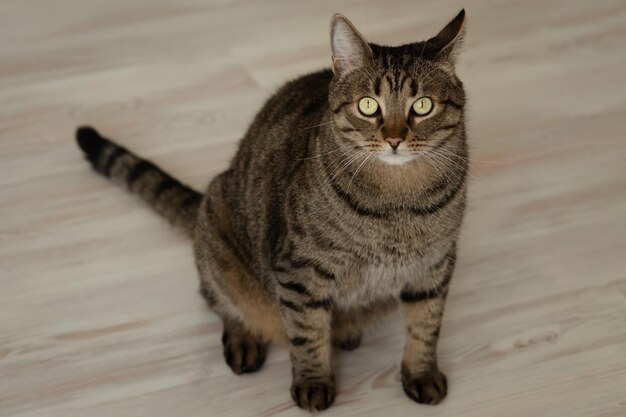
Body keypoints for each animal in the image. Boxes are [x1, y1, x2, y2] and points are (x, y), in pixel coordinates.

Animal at [75, 8, 468, 410]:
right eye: (368, 105)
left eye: (422, 106)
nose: (394, 139)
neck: (398, 199)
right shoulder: (300, 271)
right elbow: (307, 334)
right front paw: (313, 381)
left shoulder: (434, 267)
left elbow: (426, 326)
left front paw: (421, 373)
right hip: (219, 238)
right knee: (218, 299)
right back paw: (244, 339)